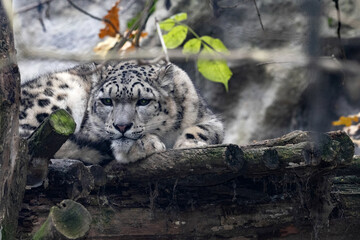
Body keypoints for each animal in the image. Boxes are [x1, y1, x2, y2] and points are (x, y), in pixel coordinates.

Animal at [19, 61, 224, 165]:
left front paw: (188, 143)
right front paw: (143, 144)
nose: (122, 126)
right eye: (107, 101)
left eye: (143, 101)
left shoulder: (209, 118)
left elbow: (206, 130)